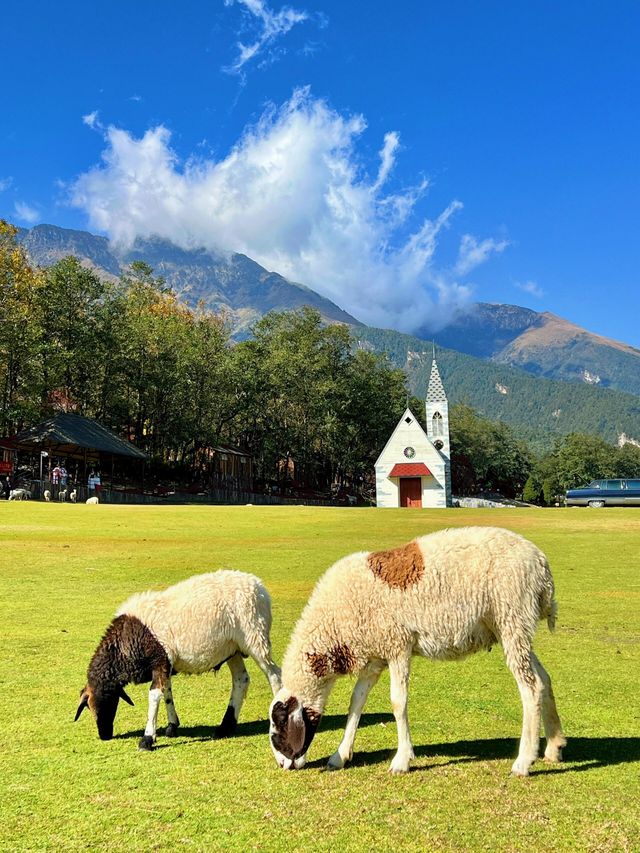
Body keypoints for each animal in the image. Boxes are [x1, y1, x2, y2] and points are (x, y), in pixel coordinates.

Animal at [76, 568, 282, 748]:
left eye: (95, 704)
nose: (104, 735)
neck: (124, 646)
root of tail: (259, 586)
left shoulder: (159, 659)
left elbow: (154, 695)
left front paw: (147, 739)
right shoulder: (165, 664)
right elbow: (166, 691)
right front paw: (171, 726)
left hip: (256, 638)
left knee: (274, 675)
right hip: (233, 648)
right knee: (241, 680)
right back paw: (225, 727)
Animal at [268, 524, 564, 776]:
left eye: (280, 723)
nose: (283, 764)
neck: (334, 628)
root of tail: (542, 564)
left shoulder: (398, 645)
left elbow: (398, 702)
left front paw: (402, 760)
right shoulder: (375, 656)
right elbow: (356, 702)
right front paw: (340, 756)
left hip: (512, 618)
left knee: (530, 688)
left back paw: (523, 761)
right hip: (513, 629)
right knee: (543, 679)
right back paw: (554, 746)